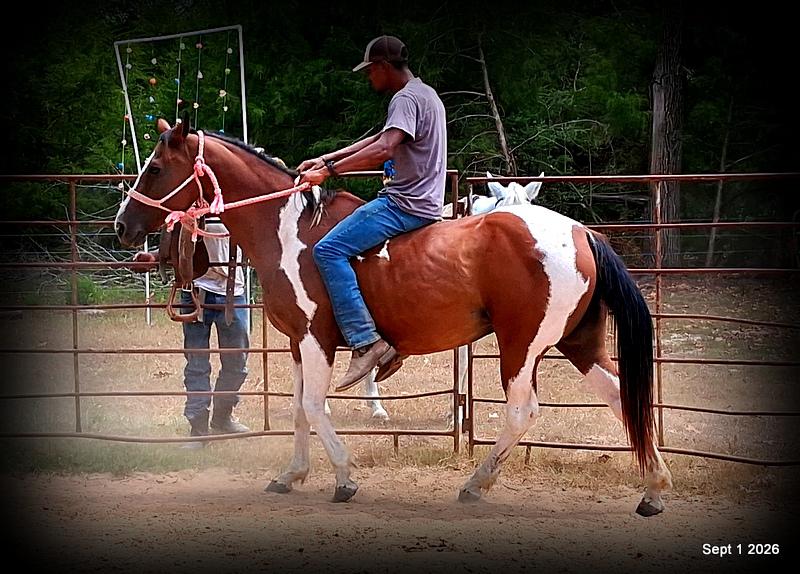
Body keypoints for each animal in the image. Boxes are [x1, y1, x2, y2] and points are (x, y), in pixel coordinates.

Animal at [115, 119, 672, 515]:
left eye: (156, 169)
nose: (122, 225)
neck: (291, 229)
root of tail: (580, 232)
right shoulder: (296, 341)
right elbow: (298, 410)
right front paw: (291, 476)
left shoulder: (316, 338)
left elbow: (315, 407)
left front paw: (344, 479)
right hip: (579, 342)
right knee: (623, 397)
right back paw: (654, 489)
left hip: (522, 344)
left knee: (522, 412)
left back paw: (477, 482)